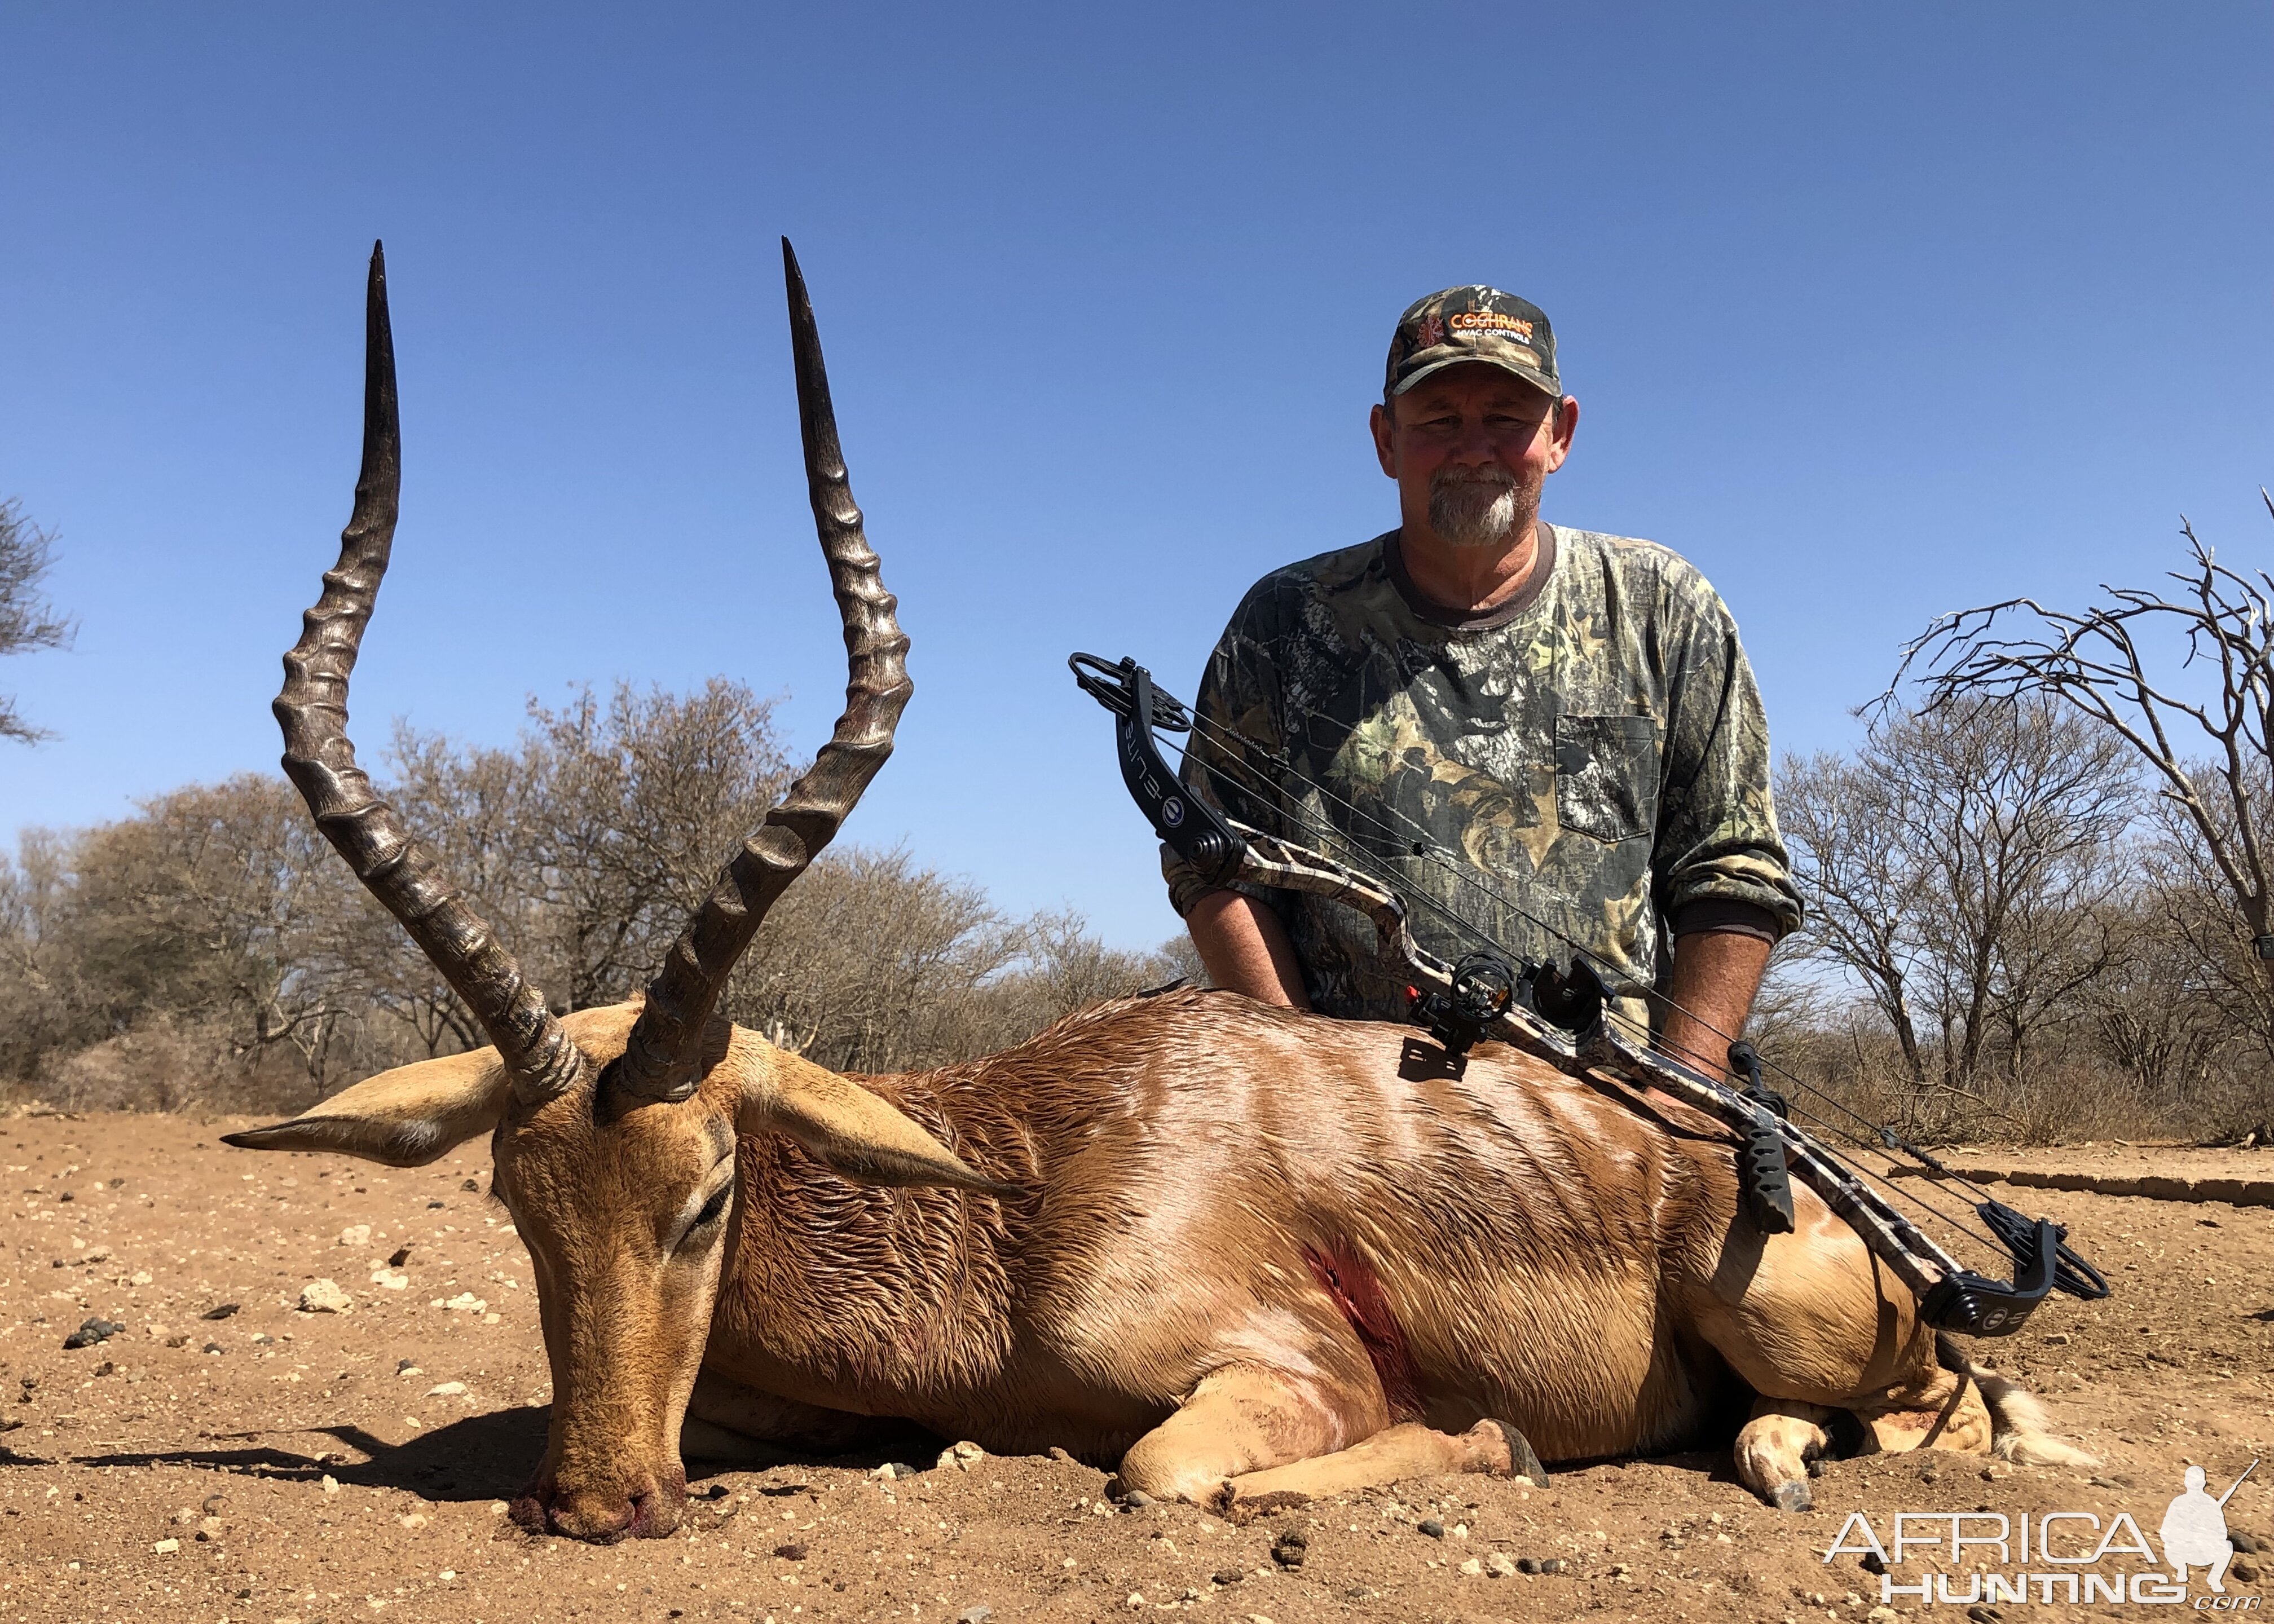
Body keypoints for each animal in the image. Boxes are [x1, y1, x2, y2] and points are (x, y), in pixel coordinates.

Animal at [222, 237, 2083, 1528]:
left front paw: (1495, 1440)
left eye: (705, 1197)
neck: (1013, 1206)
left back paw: (1787, 1450)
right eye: (515, 1205)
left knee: (1938, 1408)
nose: (596, 1503)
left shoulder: (1274, 1377)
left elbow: (1165, 1473)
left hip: (1799, 1320)